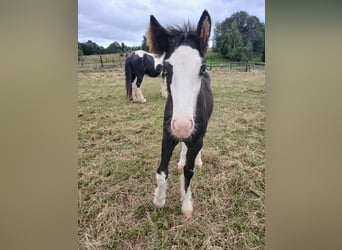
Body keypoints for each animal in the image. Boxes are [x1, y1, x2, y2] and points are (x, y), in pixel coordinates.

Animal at [148, 9, 214, 217]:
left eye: (202, 68)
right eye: (166, 69)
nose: (182, 126)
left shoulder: (196, 137)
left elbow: (189, 171)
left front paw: (186, 206)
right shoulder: (167, 136)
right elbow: (161, 171)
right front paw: (159, 199)